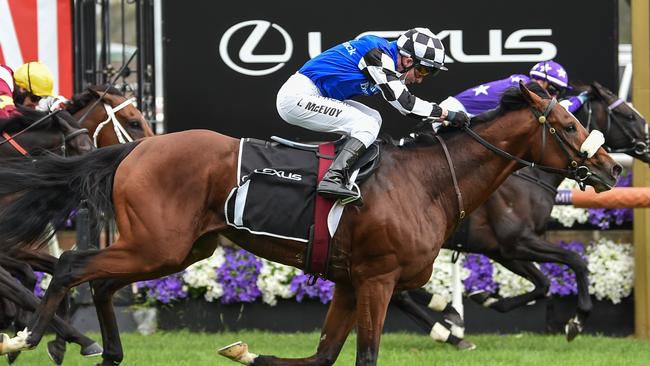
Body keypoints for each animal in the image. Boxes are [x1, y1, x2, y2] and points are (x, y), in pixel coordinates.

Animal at [0, 83, 616, 366]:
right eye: (565, 124)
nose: (610, 167)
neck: (429, 180)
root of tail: (135, 150)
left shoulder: (349, 280)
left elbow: (320, 356)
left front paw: (249, 353)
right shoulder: (377, 279)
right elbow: (363, 355)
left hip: (179, 250)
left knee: (101, 282)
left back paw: (107, 350)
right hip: (158, 244)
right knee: (72, 265)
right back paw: (28, 337)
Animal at [398, 81, 644, 346]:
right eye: (629, 116)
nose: (614, 168)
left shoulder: (501, 249)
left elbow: (543, 283)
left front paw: (486, 297)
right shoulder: (517, 240)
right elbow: (576, 261)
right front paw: (576, 321)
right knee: (400, 294)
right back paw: (447, 331)